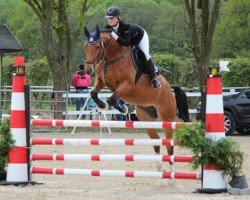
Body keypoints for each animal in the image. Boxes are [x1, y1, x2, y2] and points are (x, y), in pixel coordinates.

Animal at [83, 25, 190, 170]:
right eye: (85, 46)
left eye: (97, 47)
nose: (88, 70)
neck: (112, 57)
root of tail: (170, 88)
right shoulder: (101, 81)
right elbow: (94, 93)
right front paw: (105, 105)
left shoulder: (127, 85)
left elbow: (112, 98)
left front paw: (122, 108)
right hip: (147, 118)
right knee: (156, 141)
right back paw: (159, 169)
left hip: (167, 117)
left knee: (169, 145)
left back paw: (170, 173)